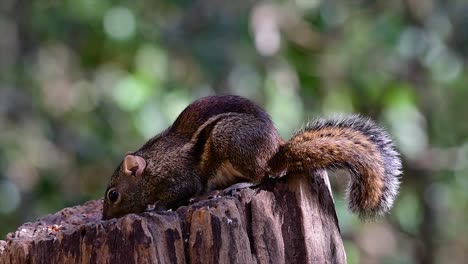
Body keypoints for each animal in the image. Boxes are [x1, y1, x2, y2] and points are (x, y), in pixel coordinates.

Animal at [102, 95, 402, 221]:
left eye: (113, 195)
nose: (104, 219)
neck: (154, 166)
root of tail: (277, 152)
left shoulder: (180, 177)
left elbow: (180, 193)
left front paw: (157, 208)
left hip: (233, 142)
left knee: (263, 175)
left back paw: (239, 185)